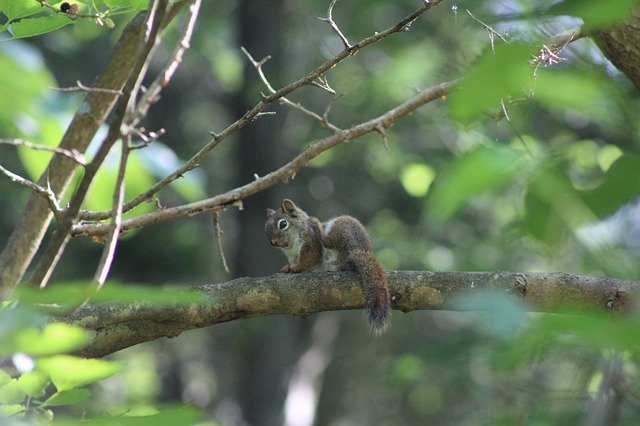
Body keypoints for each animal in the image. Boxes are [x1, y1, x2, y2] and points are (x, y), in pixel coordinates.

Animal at [264, 198, 390, 334]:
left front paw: (295, 268)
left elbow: (309, 259)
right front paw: (288, 267)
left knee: (328, 242)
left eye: (283, 224)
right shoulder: (293, 257)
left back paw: (319, 226)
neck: (291, 247)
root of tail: (357, 252)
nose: (273, 242)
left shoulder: (311, 243)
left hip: (341, 228)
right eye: (266, 230)